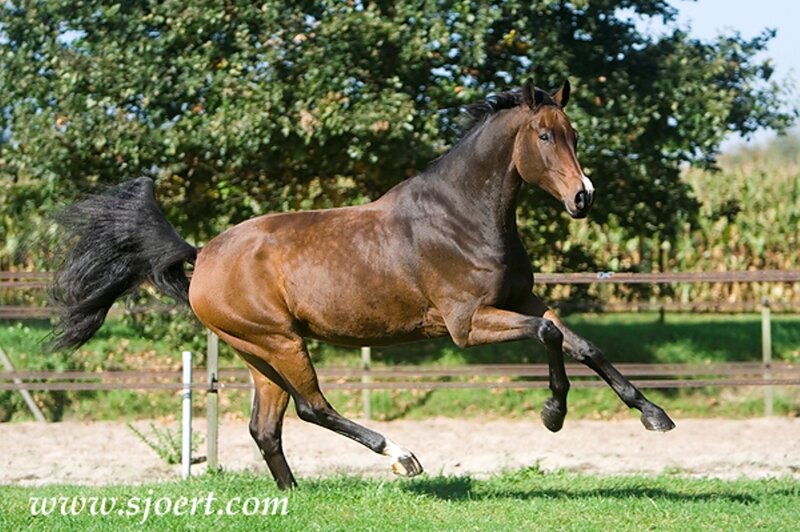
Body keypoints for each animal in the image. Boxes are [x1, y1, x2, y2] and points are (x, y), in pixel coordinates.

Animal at [50, 79, 675, 490]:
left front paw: (653, 415)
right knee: (311, 408)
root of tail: (202, 255)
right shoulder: (468, 324)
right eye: (545, 136)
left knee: (266, 428)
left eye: (574, 134)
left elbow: (579, 342)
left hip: (256, 352)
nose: (583, 198)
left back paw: (294, 495)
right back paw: (402, 458)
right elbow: (549, 339)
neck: (462, 216)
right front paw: (553, 413)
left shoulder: (520, 301)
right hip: (281, 342)